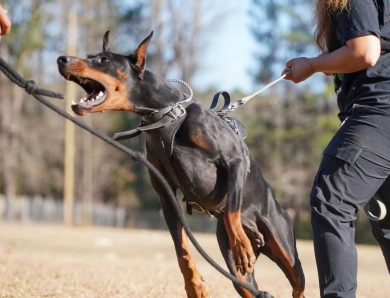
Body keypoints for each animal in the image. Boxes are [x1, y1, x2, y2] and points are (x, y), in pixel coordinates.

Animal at [57, 31, 304, 296]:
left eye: (103, 60)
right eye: (89, 55)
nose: (61, 59)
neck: (166, 116)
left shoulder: (234, 160)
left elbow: (231, 211)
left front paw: (240, 243)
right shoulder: (165, 193)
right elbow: (181, 248)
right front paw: (194, 286)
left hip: (286, 248)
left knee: (297, 284)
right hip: (240, 276)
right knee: (247, 282)